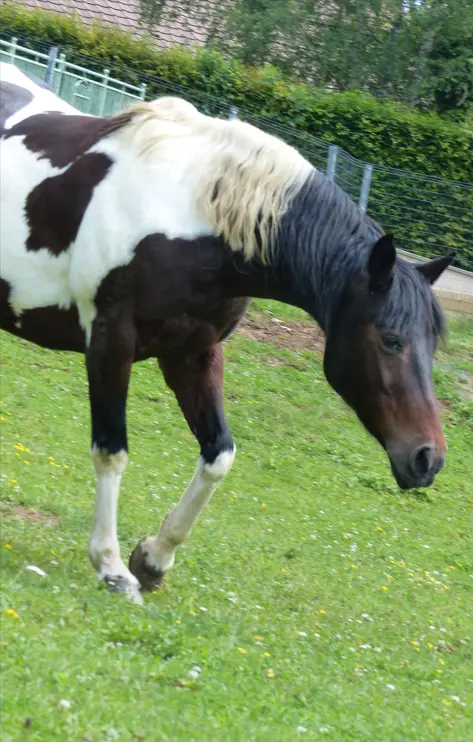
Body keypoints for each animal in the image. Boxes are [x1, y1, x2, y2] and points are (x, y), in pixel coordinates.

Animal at [0, 63, 452, 604]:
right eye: (390, 339)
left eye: (432, 343)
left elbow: (219, 456)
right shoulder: (110, 342)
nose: (428, 458)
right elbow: (112, 451)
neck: (193, 216)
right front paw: (112, 567)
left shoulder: (193, 353)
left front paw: (153, 558)